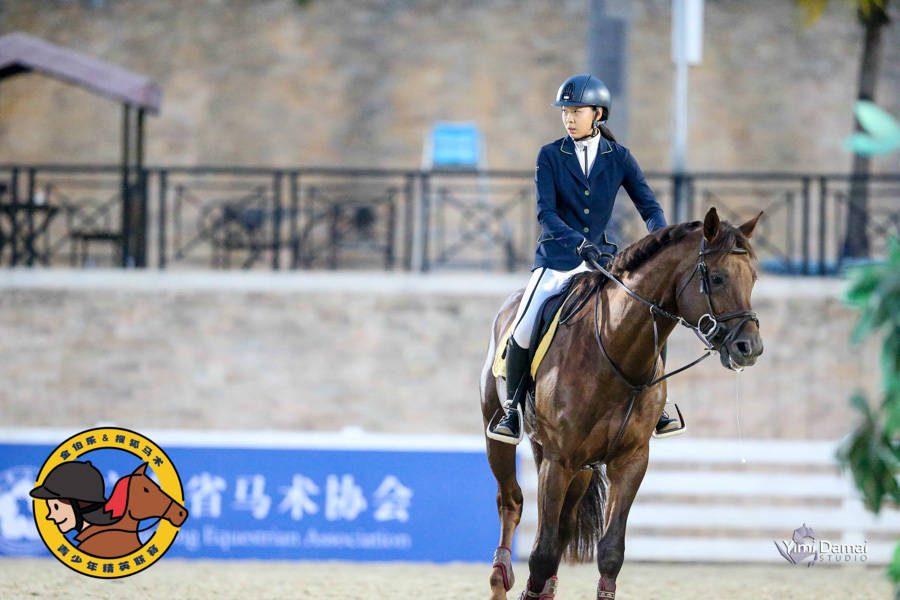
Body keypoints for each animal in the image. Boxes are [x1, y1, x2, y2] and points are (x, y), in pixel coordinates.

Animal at [480, 207, 763, 599]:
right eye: (718, 278)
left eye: (753, 278)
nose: (750, 348)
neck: (614, 347)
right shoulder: (558, 459)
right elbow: (541, 552)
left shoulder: (630, 460)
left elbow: (610, 552)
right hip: (503, 439)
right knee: (511, 502)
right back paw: (500, 576)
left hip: (581, 467)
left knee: (564, 524)